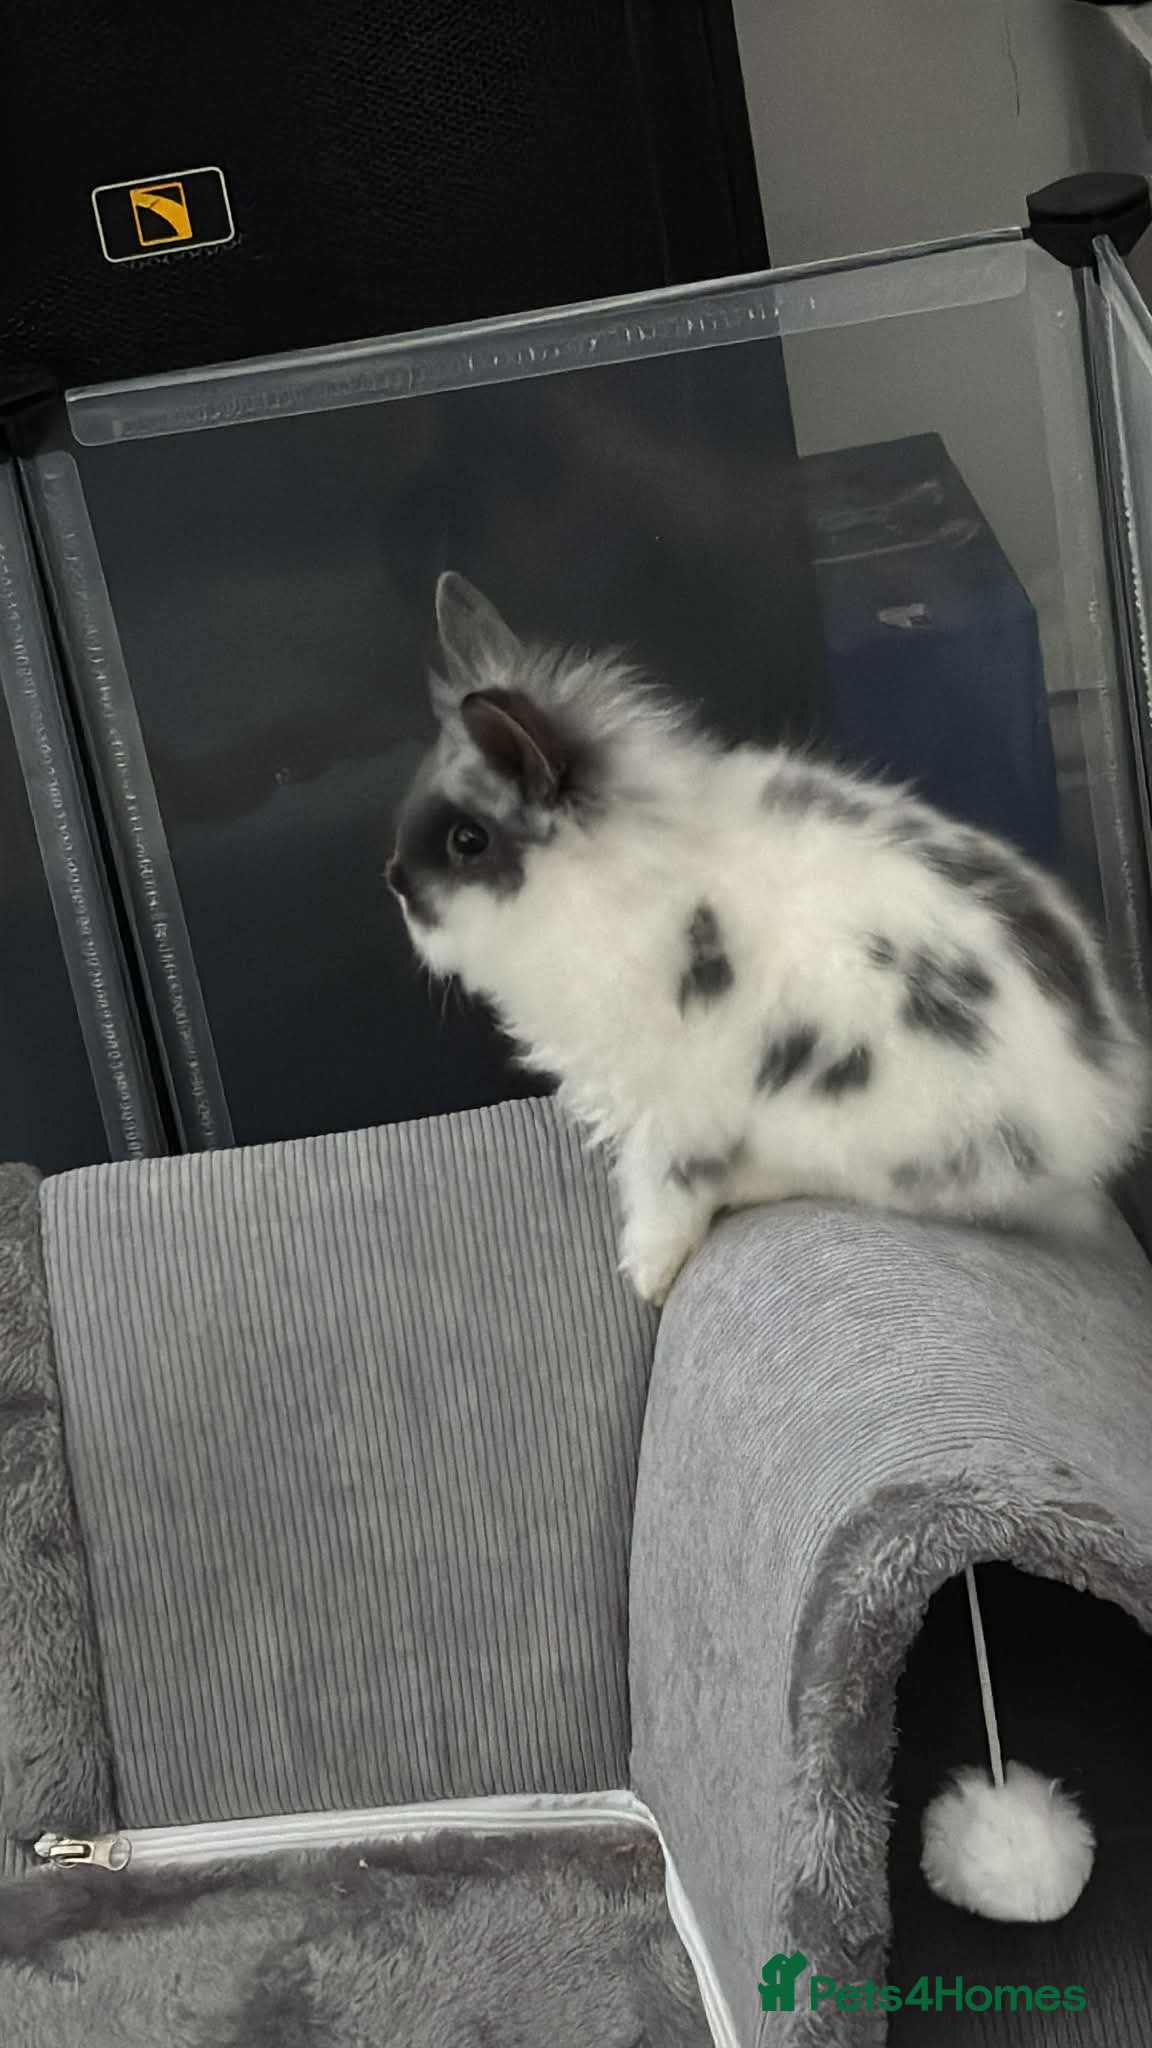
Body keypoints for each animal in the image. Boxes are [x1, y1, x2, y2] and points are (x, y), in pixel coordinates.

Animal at [388, 572, 1149, 1305]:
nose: (395, 882)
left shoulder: (669, 1109)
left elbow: (666, 1189)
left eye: (467, 840)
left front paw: (648, 1276)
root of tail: (1102, 1118)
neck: (603, 872)